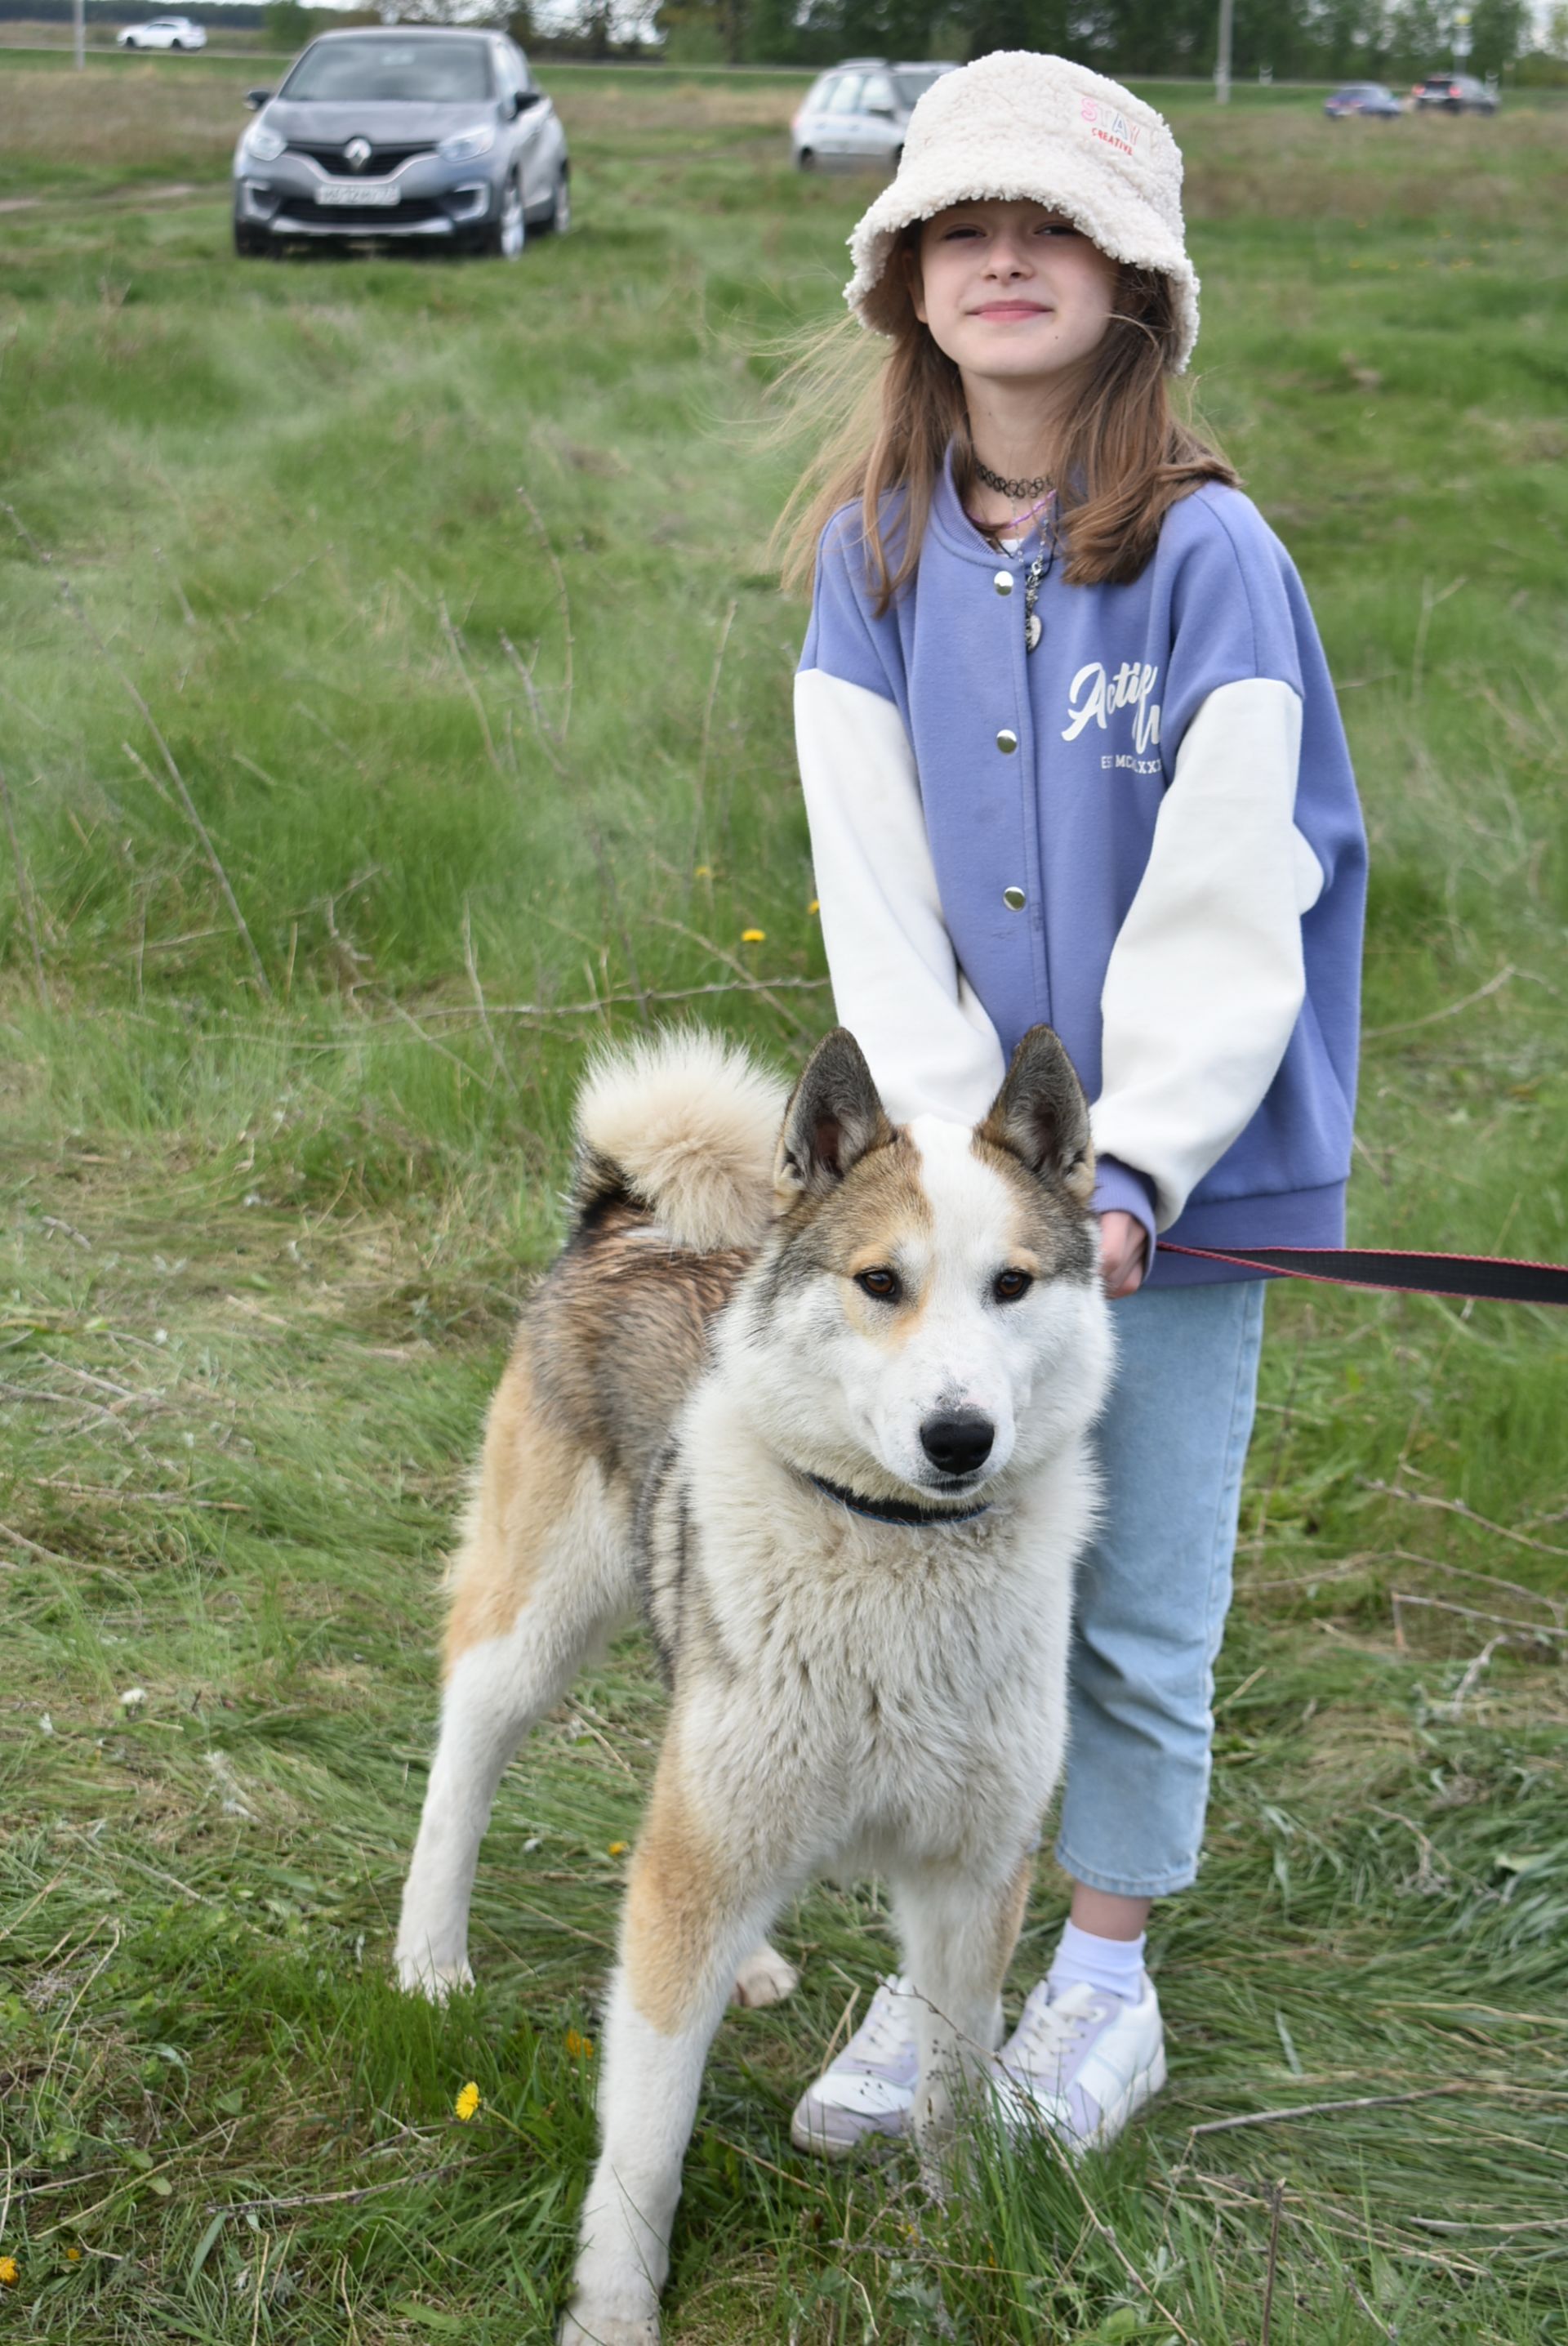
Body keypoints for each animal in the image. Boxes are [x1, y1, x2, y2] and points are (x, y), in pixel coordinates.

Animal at [400, 1027, 1111, 2346]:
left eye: (1014, 1286)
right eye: (880, 1282)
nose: (960, 1438)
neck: (896, 1551)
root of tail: (626, 1217)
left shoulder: (970, 1885)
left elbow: (951, 2095)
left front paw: (965, 2250)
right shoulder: (695, 1879)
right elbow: (645, 2140)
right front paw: (614, 2314)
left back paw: (753, 1961)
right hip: (536, 1628)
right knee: (462, 1763)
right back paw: (428, 1963)